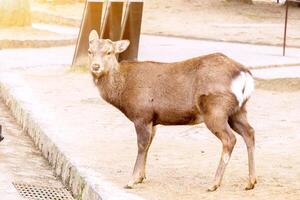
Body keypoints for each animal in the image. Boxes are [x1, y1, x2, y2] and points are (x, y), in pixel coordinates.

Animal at [88, 29, 256, 191]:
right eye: (90, 51)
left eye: (109, 52)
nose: (95, 66)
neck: (123, 92)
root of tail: (244, 74)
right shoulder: (153, 119)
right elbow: (149, 145)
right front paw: (141, 177)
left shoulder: (142, 115)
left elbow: (142, 145)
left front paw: (132, 181)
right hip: (238, 110)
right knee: (249, 132)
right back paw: (251, 182)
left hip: (216, 109)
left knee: (230, 139)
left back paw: (214, 184)